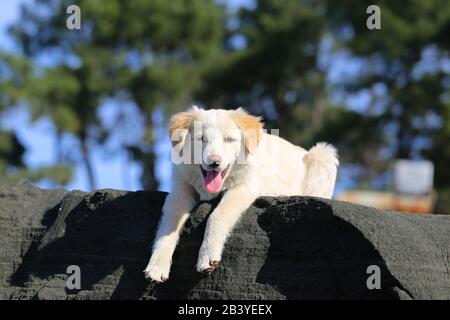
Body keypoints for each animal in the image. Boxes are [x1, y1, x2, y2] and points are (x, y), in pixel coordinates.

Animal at [144, 106, 338, 282]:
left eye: (229, 140)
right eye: (202, 139)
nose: (214, 162)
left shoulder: (244, 187)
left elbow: (217, 216)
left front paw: (207, 256)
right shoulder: (180, 191)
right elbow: (168, 226)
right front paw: (156, 266)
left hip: (323, 154)